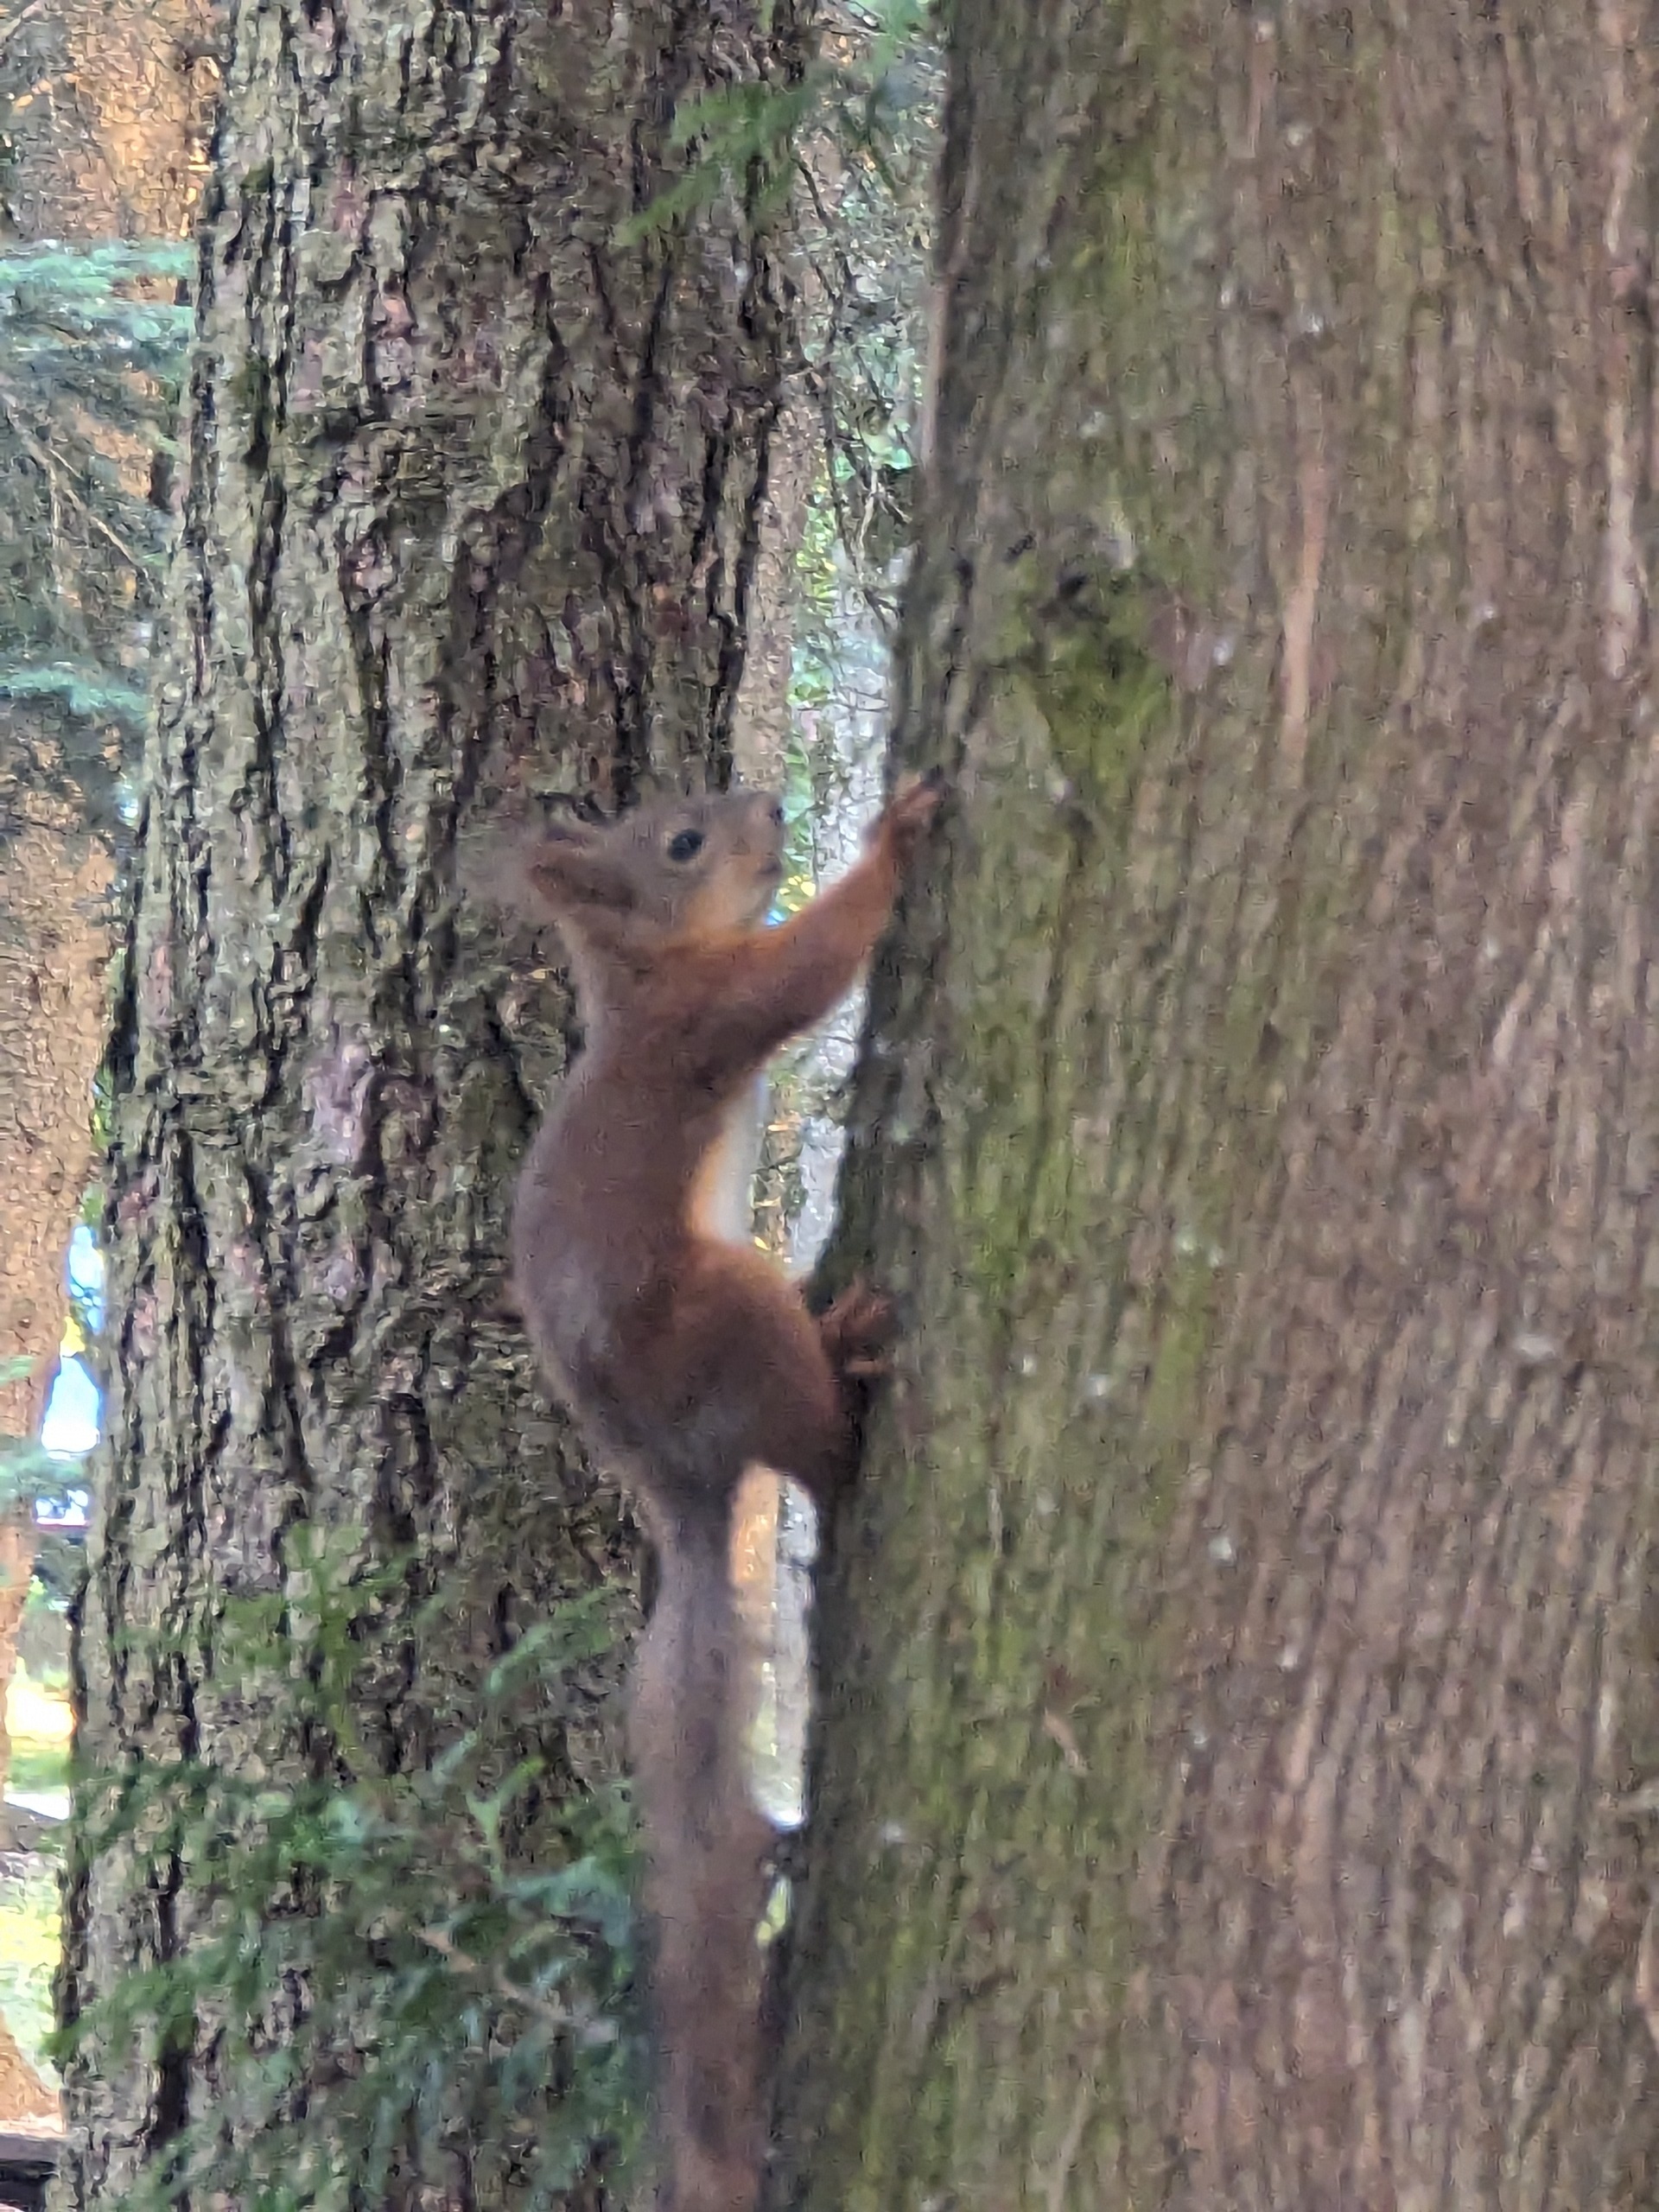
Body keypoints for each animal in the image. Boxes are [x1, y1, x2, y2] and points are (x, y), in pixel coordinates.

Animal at [506, 769, 946, 2202]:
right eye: (686, 843)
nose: (767, 803)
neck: (647, 974)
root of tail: (679, 1485)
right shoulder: (718, 1014)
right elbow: (808, 969)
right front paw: (890, 842)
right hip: (721, 1309)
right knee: (817, 1451)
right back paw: (852, 1374)